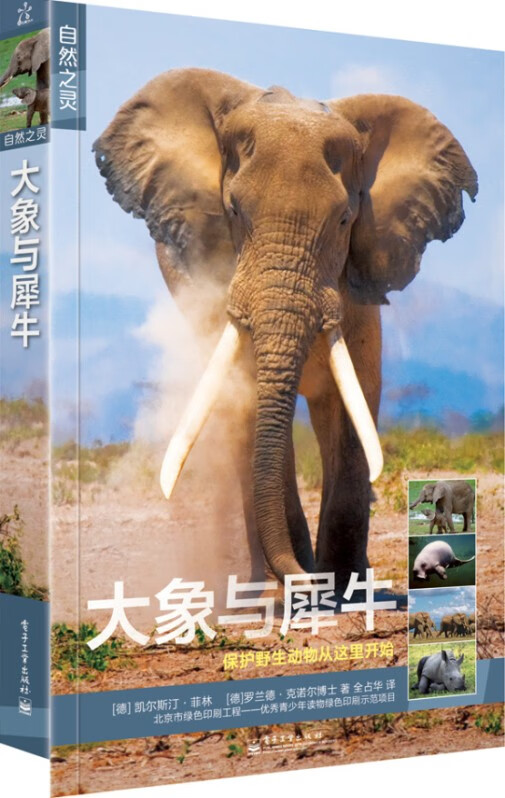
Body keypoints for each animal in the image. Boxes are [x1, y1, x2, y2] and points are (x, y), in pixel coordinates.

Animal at [94, 68, 477, 591]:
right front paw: (302, 588)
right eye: (234, 211)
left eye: (345, 219)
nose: (306, 577)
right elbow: (253, 406)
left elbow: (353, 400)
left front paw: (345, 587)